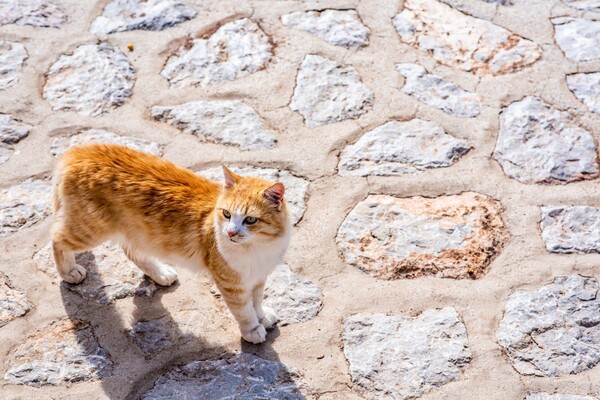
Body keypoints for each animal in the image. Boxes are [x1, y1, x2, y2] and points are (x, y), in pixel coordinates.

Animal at [50, 144, 290, 344]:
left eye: (250, 220)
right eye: (226, 214)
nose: (230, 232)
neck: (257, 249)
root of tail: (81, 149)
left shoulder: (258, 277)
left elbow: (256, 301)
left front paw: (262, 316)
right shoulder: (232, 285)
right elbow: (244, 310)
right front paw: (252, 329)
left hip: (135, 233)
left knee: (131, 251)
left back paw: (160, 273)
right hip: (90, 230)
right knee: (57, 237)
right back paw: (70, 271)